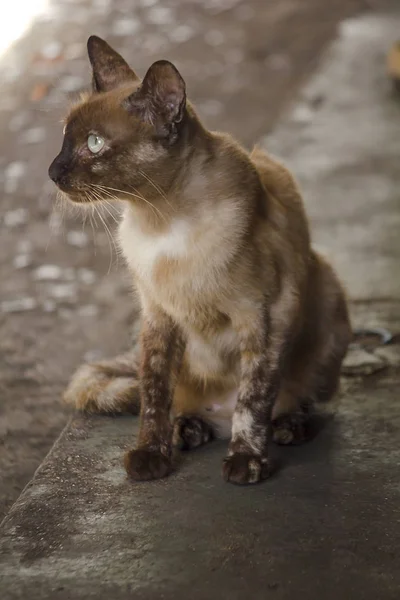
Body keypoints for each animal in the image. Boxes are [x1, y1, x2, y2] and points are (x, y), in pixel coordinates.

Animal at [48, 35, 352, 486]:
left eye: (95, 143)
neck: (160, 222)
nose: (52, 172)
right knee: (175, 400)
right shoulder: (157, 317)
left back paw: (287, 427)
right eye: (66, 137)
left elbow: (253, 398)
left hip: (328, 296)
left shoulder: (265, 316)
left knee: (292, 401)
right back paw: (187, 430)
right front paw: (151, 456)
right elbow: (154, 394)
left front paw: (246, 461)